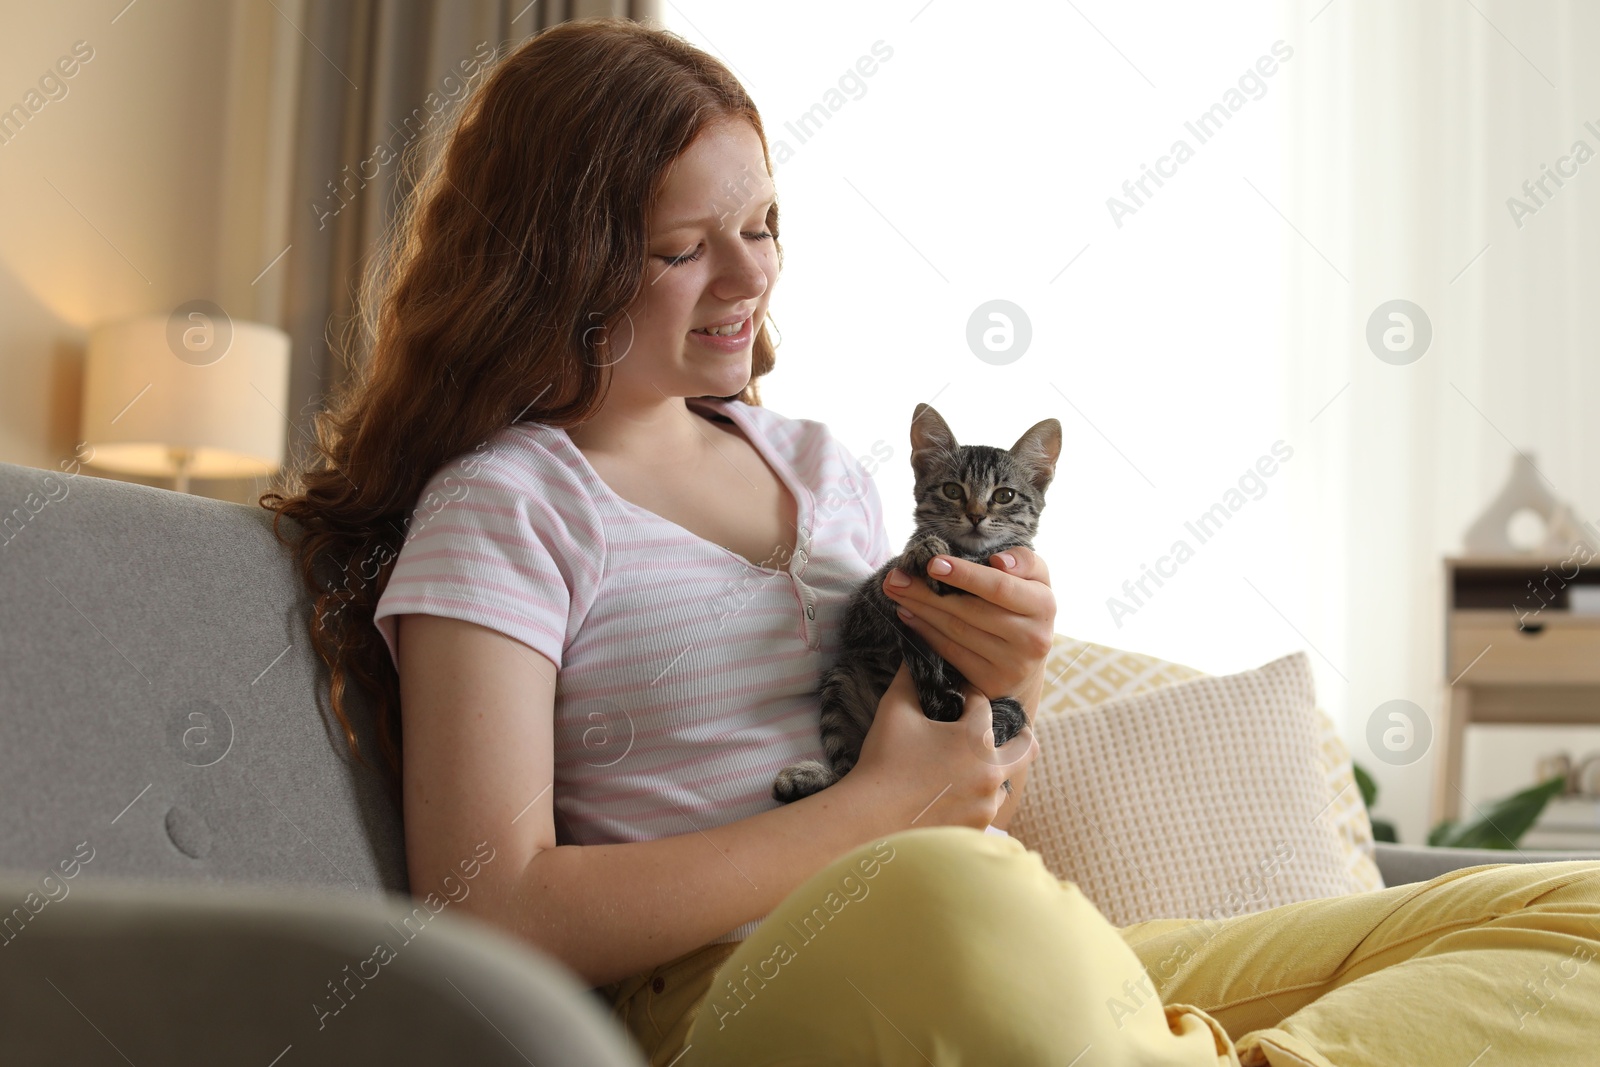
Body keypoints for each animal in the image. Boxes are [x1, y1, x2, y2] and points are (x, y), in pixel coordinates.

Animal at [774, 404, 1062, 806]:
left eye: (1004, 495)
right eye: (952, 490)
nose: (976, 515)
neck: (966, 552)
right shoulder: (866, 609)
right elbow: (892, 573)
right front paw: (924, 550)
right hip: (840, 680)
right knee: (850, 767)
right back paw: (808, 778)